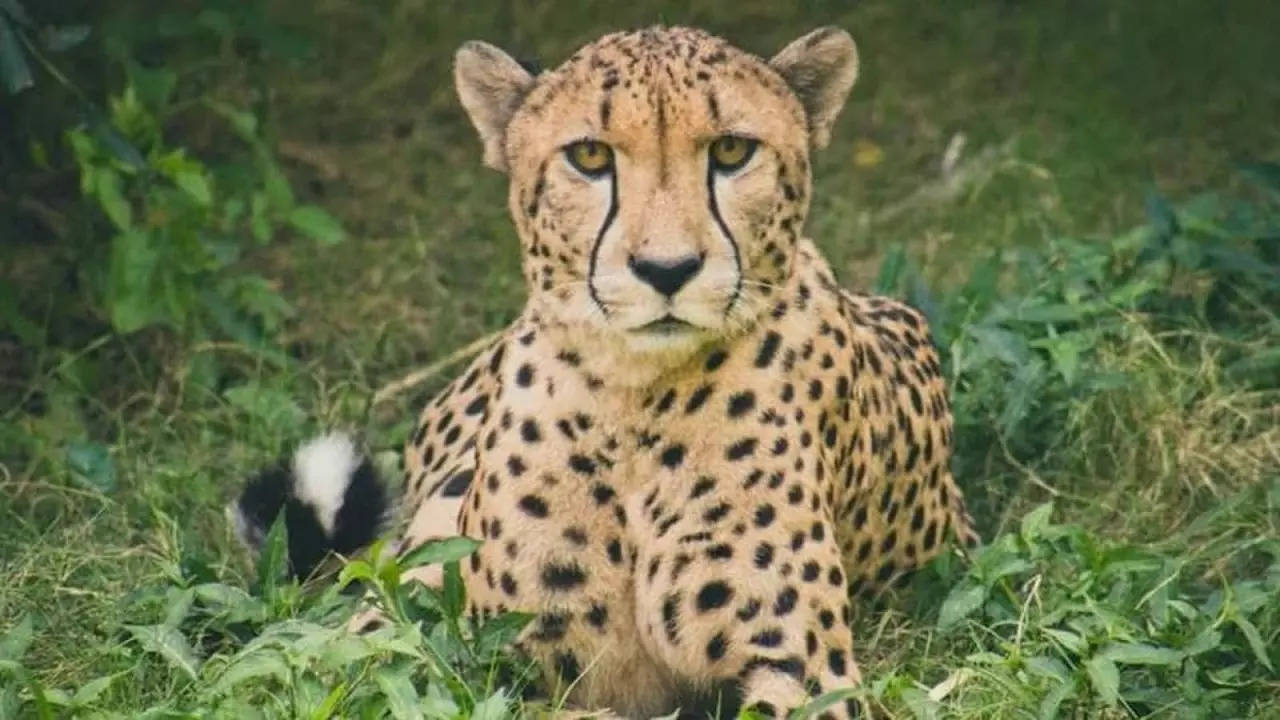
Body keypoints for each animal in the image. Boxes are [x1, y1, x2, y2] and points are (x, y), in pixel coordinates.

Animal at [235, 25, 977, 717]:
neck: (635, 399)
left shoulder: (804, 671)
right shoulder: (468, 652)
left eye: (732, 151)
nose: (667, 269)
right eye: (589, 156)